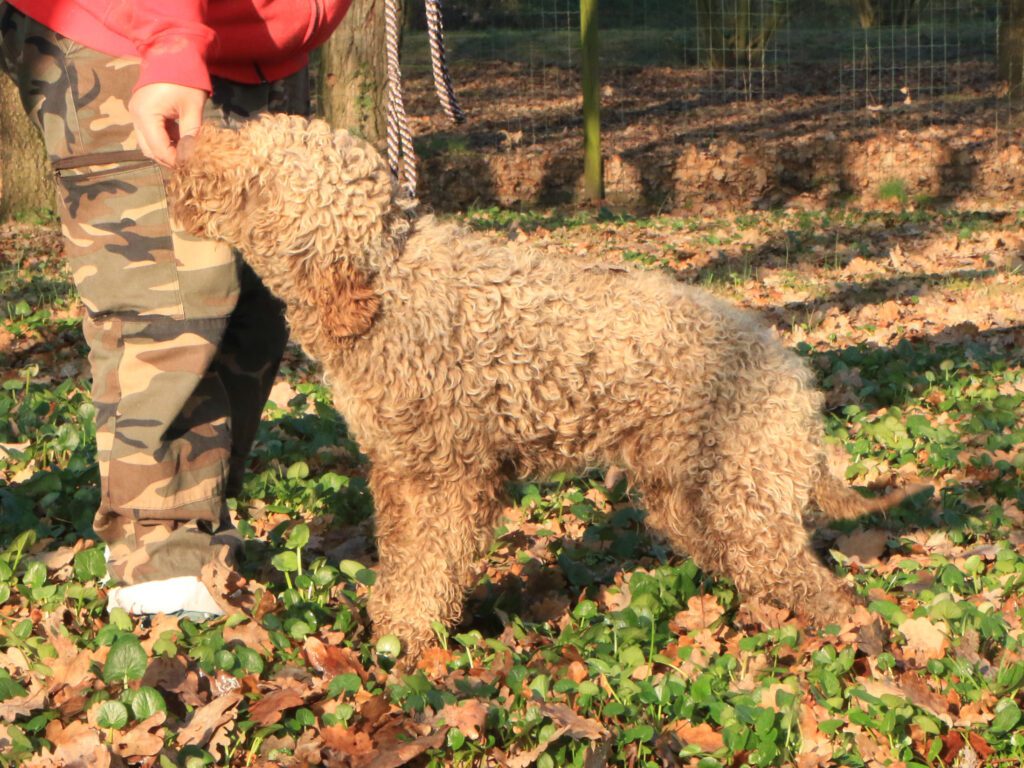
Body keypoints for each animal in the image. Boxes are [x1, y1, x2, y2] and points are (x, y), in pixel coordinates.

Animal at [169, 115, 921, 663]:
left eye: (253, 162)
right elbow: (404, 554)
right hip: (694, 498)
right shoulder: (400, 470)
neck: (387, 285)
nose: (188, 135)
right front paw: (386, 618)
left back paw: (852, 642)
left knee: (817, 585)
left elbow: (431, 564)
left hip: (741, 489)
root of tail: (793, 373)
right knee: (769, 571)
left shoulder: (449, 475)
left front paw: (406, 639)